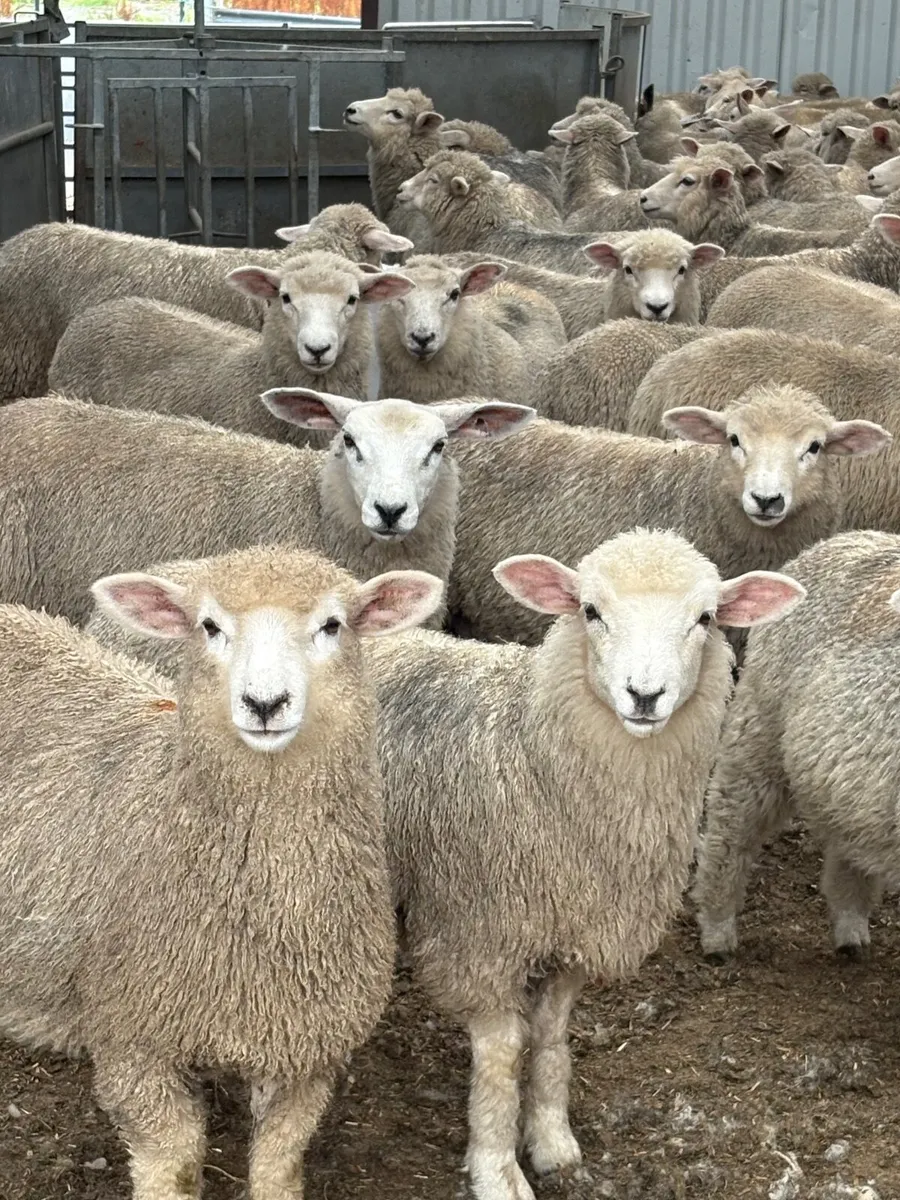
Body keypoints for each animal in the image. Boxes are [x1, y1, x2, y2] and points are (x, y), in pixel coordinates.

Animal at [0, 541, 444, 1198]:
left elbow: (279, 1166)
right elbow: (176, 1166)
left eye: (332, 625)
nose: (264, 703)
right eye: (209, 626)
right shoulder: (135, 1044)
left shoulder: (305, 1057)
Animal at [369, 527, 803, 1200]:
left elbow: (550, 1036)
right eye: (591, 611)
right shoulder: (480, 934)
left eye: (705, 618)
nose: (645, 695)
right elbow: (503, 1051)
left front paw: (552, 1142)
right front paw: (497, 1168)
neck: (530, 747)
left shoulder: (580, 927)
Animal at [693, 530, 900, 963]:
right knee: (729, 831)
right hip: (759, 728)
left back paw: (851, 929)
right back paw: (718, 931)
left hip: (847, 781)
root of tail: (840, 539)